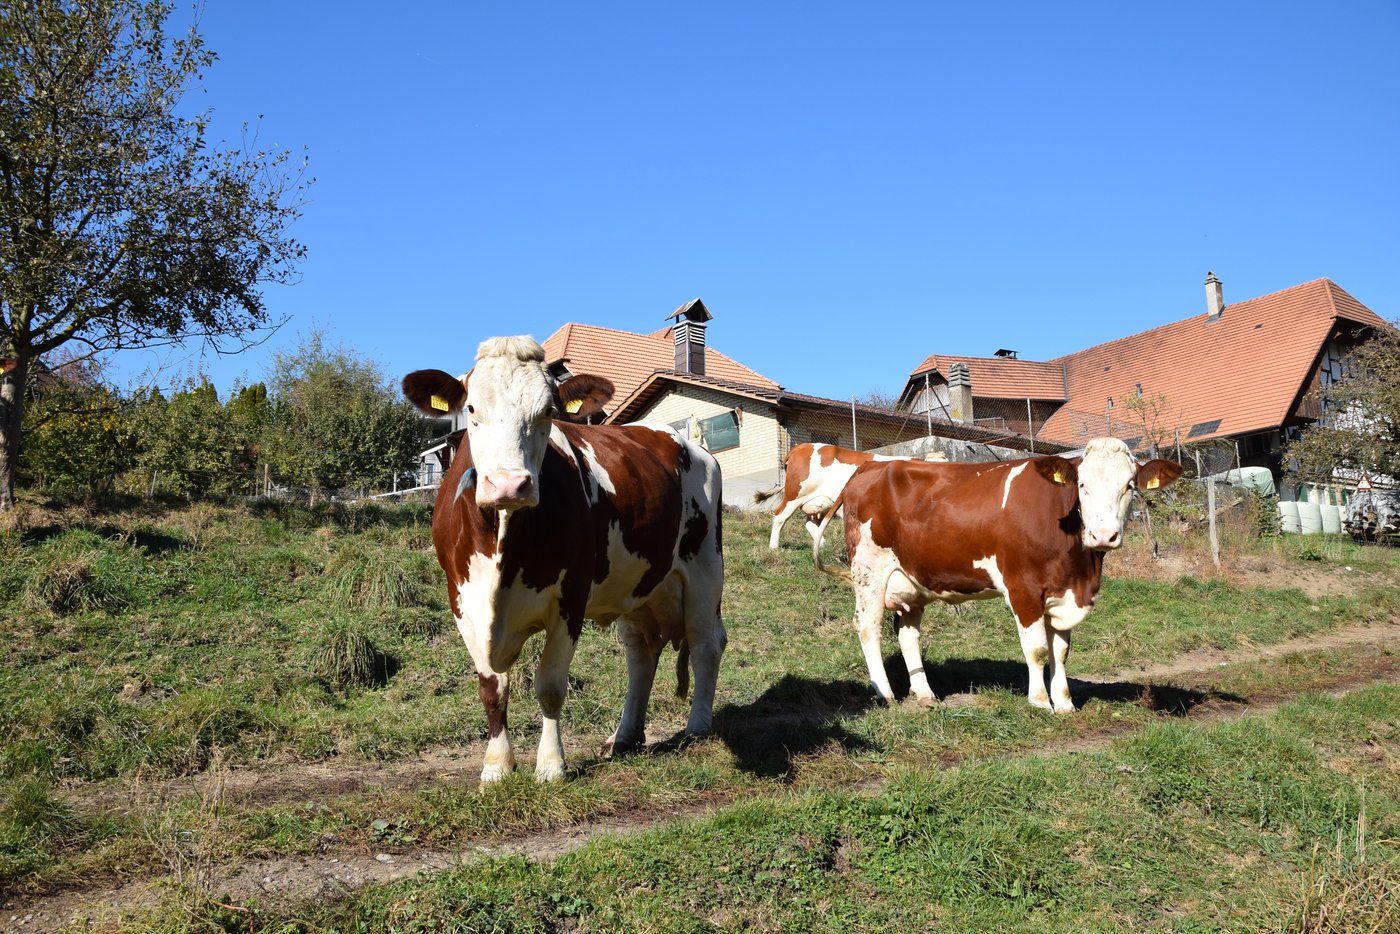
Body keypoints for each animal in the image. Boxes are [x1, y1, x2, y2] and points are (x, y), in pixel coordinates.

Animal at [403, 336, 726, 785]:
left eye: (547, 412)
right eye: (470, 409)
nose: (509, 485)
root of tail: (676, 437)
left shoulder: (571, 596)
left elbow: (551, 685)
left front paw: (551, 764)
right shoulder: (462, 601)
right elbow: (492, 688)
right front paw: (496, 766)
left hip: (704, 567)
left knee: (704, 643)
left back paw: (697, 727)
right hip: (639, 584)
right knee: (641, 654)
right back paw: (624, 736)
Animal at [754, 443, 944, 550]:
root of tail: (801, 447)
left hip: (820, 501)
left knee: (809, 522)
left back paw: (822, 545)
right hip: (795, 494)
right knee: (780, 516)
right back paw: (774, 548)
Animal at [814, 437, 1181, 712]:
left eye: (1130, 486)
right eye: (1082, 485)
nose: (1103, 536)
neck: (1081, 569)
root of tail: (871, 466)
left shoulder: (1063, 591)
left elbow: (1060, 651)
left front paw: (1064, 703)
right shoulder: (1023, 588)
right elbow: (1037, 649)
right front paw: (1040, 702)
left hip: (911, 580)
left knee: (907, 634)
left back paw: (925, 694)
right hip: (869, 570)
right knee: (867, 627)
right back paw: (885, 693)